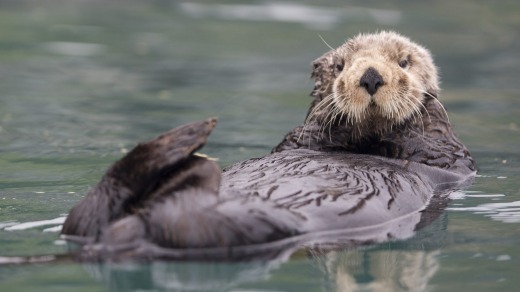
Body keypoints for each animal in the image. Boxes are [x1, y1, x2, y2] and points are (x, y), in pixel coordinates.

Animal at [60, 31, 476, 260]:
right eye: (340, 66)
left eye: (404, 62)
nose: (371, 76)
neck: (365, 143)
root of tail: (123, 235)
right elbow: (302, 136)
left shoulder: (446, 159)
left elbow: (429, 142)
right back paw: (187, 147)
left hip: (242, 225)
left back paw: (189, 153)